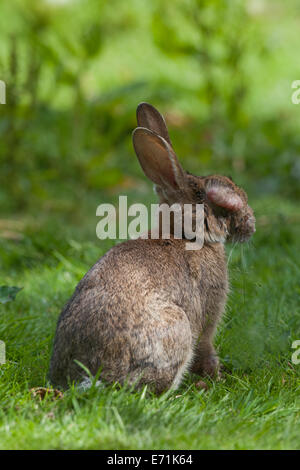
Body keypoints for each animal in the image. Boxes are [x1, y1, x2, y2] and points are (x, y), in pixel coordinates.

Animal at [49, 102, 255, 392]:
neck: (184, 234)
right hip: (177, 328)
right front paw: (216, 376)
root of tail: (93, 375)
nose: (250, 225)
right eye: (219, 201)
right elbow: (206, 347)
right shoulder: (208, 315)